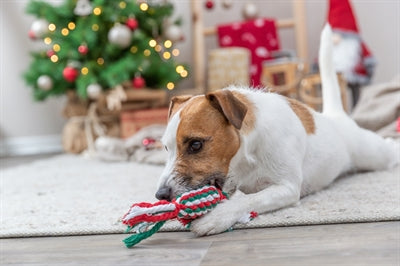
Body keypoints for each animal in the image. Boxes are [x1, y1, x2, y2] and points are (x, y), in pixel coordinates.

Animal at [155, 25, 398, 237]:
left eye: (195, 144)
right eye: (166, 148)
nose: (161, 195)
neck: (247, 156)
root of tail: (336, 117)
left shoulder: (286, 188)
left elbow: (249, 199)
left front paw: (216, 217)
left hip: (374, 155)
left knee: (389, 148)